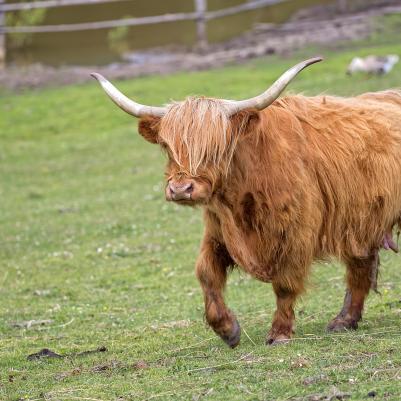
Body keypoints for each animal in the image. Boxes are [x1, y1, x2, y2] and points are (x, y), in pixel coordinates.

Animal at [91, 58, 400, 346]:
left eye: (217, 147)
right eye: (167, 146)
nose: (180, 189)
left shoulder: (297, 235)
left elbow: (285, 285)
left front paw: (279, 333)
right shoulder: (218, 232)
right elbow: (206, 274)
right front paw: (228, 330)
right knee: (360, 267)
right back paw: (343, 321)